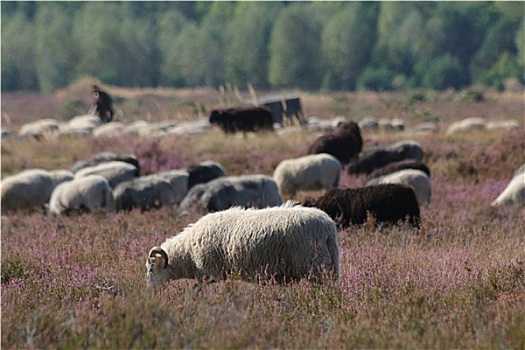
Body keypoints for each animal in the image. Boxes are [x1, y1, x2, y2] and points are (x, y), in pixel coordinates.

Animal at [145, 202, 340, 290]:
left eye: (151, 269)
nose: (150, 291)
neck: (188, 253)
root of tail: (328, 226)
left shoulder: (211, 273)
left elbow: (196, 290)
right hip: (330, 265)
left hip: (315, 266)